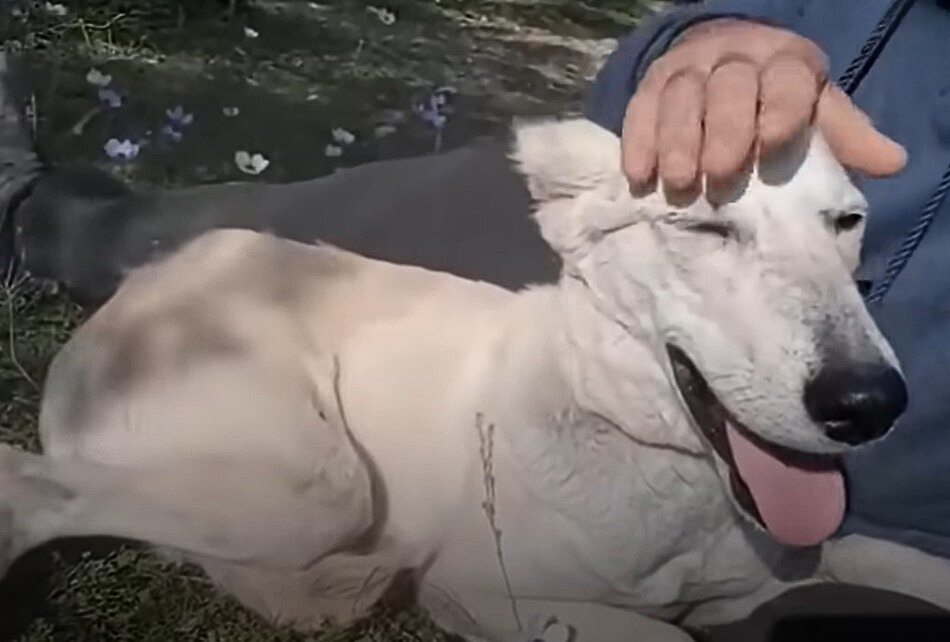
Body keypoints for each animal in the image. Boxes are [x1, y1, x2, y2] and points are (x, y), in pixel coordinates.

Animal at [1, 117, 950, 636]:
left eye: (847, 223)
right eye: (707, 229)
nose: (869, 404)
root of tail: (142, 281)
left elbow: (899, 559)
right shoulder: (482, 588)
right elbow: (668, 636)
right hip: (318, 485)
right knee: (35, 488)